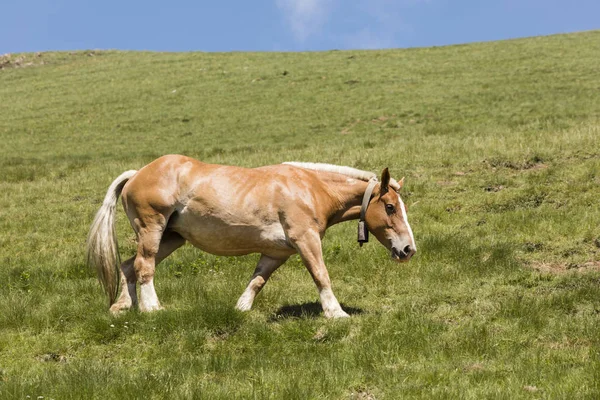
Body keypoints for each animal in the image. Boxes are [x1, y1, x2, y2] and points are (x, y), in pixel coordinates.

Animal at [86, 155, 418, 318]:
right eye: (390, 207)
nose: (408, 249)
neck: (311, 189)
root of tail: (137, 173)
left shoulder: (277, 252)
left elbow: (257, 281)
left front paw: (240, 310)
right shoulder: (306, 240)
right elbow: (321, 275)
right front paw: (336, 314)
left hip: (172, 237)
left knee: (128, 266)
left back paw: (122, 307)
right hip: (152, 229)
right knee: (144, 266)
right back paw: (151, 309)